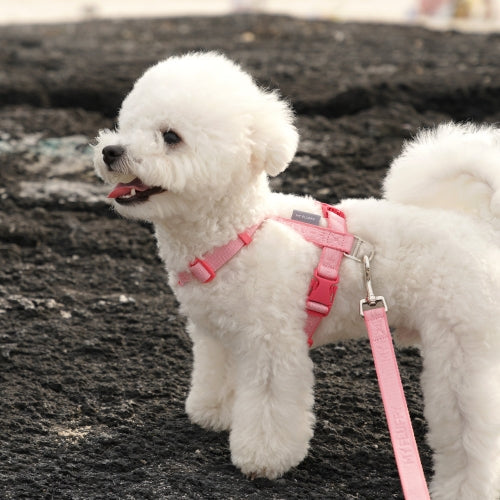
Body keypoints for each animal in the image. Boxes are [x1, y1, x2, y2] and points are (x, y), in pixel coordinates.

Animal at [93, 52, 500, 498]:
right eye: (126, 124)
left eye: (171, 136)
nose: (110, 151)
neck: (240, 230)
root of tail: (479, 226)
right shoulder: (219, 335)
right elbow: (218, 376)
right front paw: (213, 412)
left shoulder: (273, 345)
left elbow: (270, 407)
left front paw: (262, 459)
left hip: (461, 355)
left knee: (470, 433)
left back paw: (464, 487)